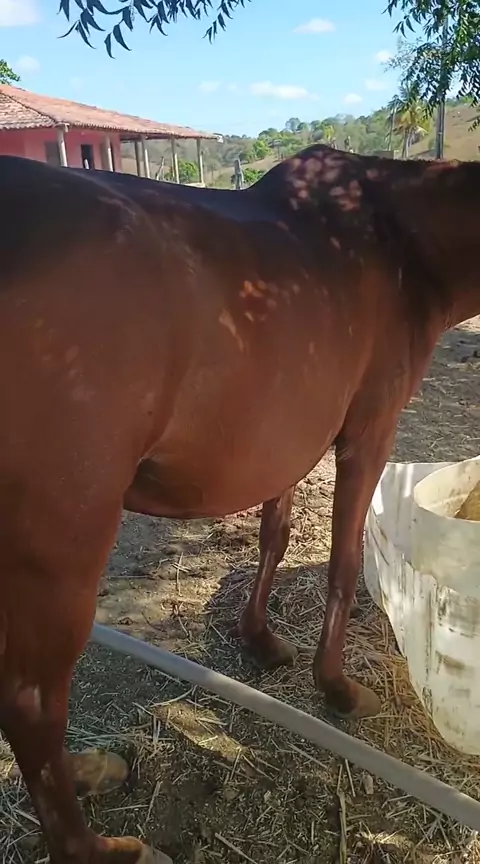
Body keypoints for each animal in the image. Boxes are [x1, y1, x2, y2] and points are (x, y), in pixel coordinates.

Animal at [0, 145, 478, 862]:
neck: (394, 238)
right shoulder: (369, 432)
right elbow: (341, 563)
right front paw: (338, 689)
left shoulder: (285, 437)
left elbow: (274, 534)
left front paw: (260, 641)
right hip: (62, 547)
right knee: (32, 705)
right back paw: (101, 847)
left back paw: (88, 772)